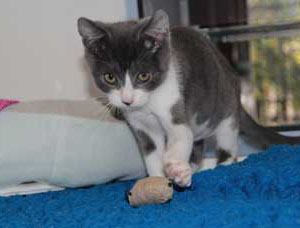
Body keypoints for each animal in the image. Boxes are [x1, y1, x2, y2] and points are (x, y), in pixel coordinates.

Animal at [78, 9, 300, 187]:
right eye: (109, 77)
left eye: (143, 76)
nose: (127, 100)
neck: (148, 103)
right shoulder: (141, 127)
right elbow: (151, 153)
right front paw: (158, 179)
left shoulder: (174, 105)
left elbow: (181, 137)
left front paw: (175, 168)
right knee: (198, 143)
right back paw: (193, 166)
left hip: (226, 110)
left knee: (227, 144)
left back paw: (221, 165)